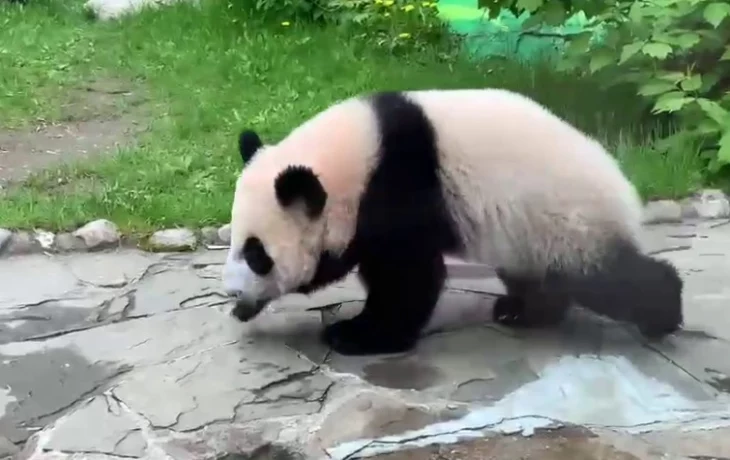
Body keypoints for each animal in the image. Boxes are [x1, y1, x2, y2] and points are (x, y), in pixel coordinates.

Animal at [222, 88, 684, 356]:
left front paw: (356, 335)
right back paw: (521, 311)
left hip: (568, 221)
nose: (233, 297)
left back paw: (661, 316)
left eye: (257, 254)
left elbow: (408, 274)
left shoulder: (400, 183)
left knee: (608, 278)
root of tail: (624, 188)